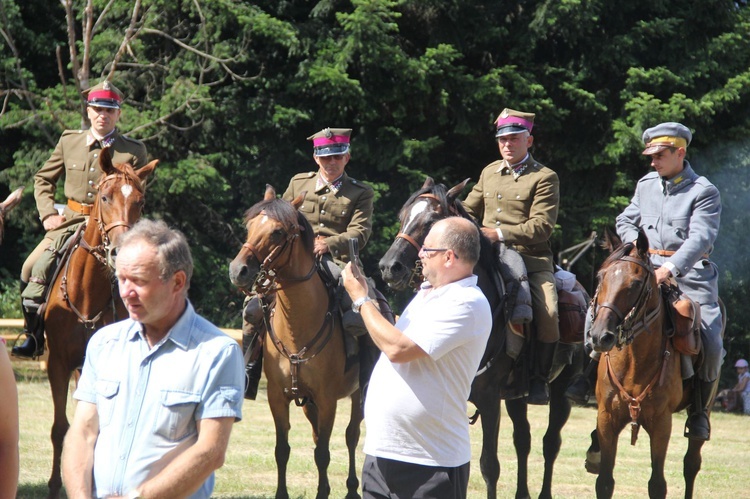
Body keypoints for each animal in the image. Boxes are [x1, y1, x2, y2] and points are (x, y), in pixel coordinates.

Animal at [44, 148, 157, 496]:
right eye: (105, 197)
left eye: (140, 202)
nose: (121, 252)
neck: (85, 293)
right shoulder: (57, 363)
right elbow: (60, 428)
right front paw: (55, 485)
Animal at [229, 186, 364, 498]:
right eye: (249, 226)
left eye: (278, 232)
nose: (237, 270)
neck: (297, 324)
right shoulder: (278, 398)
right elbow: (283, 450)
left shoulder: (328, 400)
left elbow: (324, 453)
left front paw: (323, 492)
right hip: (308, 403)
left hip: (359, 394)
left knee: (351, 435)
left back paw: (352, 489)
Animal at [378, 178, 584, 498]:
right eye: (403, 216)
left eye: (431, 221)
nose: (389, 267)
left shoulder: (488, 399)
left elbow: (489, 465)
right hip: (516, 396)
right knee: (523, 440)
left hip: (561, 392)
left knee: (550, 443)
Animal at [592, 230, 708, 499]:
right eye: (601, 277)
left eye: (634, 284)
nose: (600, 336)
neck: (634, 363)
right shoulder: (606, 419)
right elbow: (604, 482)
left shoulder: (661, 424)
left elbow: (657, 484)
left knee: (691, 464)